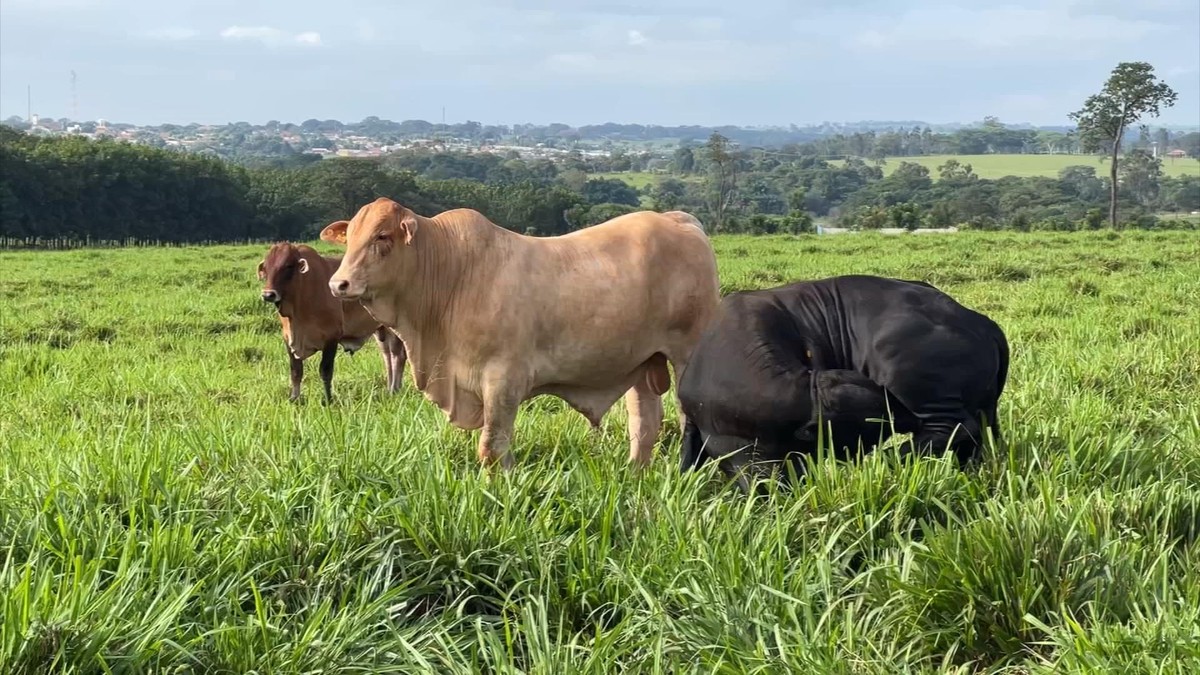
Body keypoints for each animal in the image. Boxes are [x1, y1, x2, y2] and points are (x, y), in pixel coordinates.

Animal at [256, 239, 408, 401]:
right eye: (265, 268)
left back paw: (394, 389)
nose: (268, 294)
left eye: (288, 266)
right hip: (381, 330)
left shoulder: (331, 337)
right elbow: (296, 371)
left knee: (398, 356)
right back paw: (389, 389)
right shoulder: (288, 339)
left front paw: (328, 400)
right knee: (387, 356)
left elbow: (325, 371)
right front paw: (294, 398)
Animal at [316, 195, 720, 468]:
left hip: (686, 353)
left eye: (382, 237)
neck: (452, 275)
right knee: (645, 422)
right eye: (349, 238)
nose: (338, 284)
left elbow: (492, 446)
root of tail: (676, 218)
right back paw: (635, 473)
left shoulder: (503, 380)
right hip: (641, 361)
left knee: (688, 419)